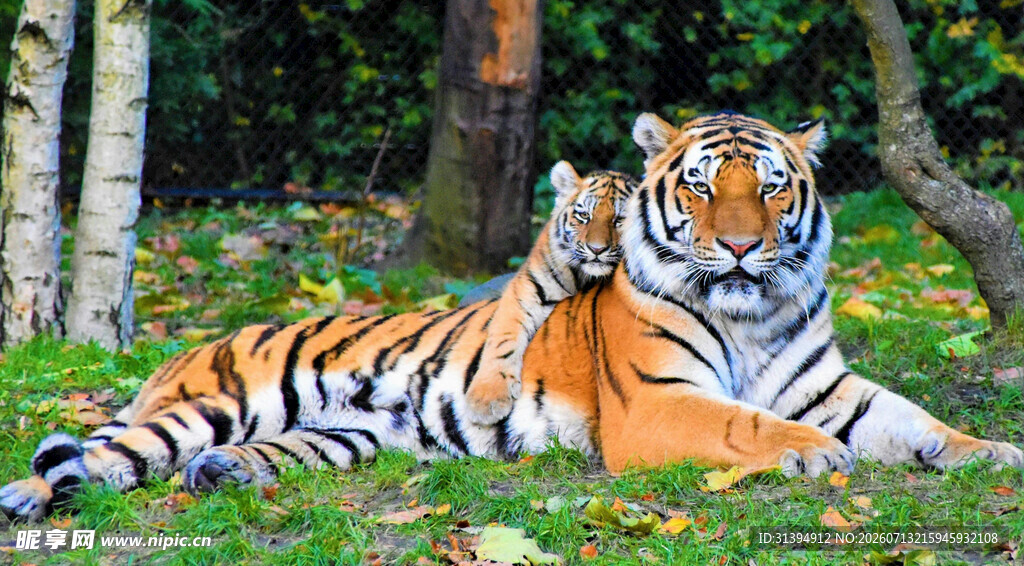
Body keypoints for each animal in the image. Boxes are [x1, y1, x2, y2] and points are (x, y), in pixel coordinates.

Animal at [463, 161, 636, 424]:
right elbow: (503, 339)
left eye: (619, 219)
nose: (597, 249)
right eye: (584, 216)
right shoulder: (526, 290)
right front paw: (486, 400)